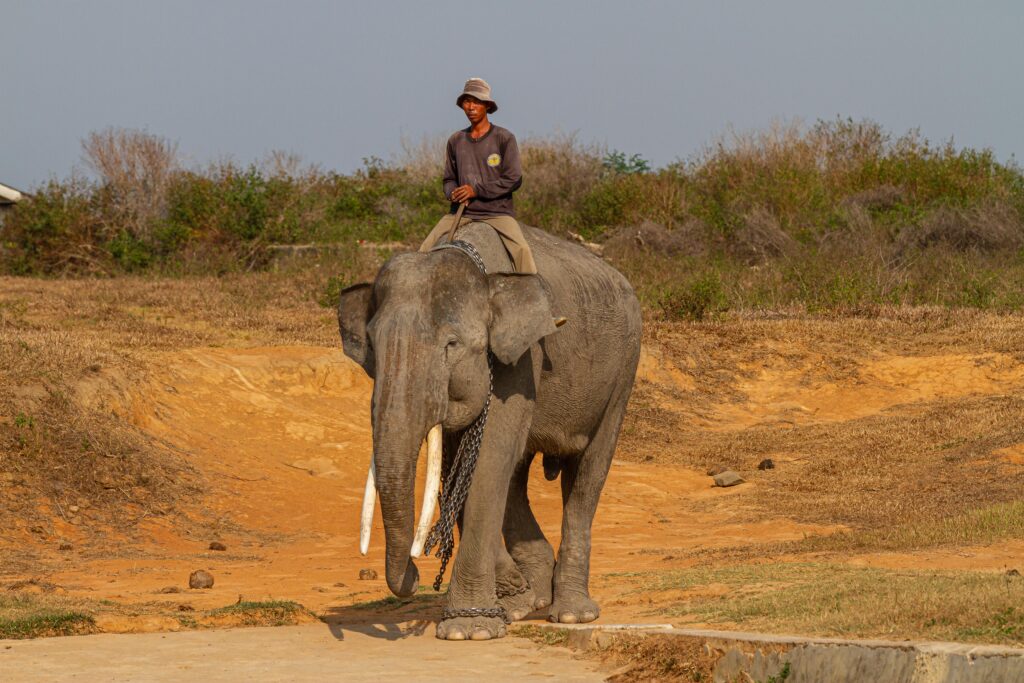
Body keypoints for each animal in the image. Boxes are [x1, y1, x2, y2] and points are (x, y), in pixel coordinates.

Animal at [335, 220, 638, 643]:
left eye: (452, 343)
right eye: (374, 350)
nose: (414, 573)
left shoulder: (521, 359)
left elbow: (487, 461)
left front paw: (470, 630)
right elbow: (461, 468)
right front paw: (511, 595)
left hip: (623, 371)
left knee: (586, 475)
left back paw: (572, 614)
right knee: (516, 477)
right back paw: (529, 600)